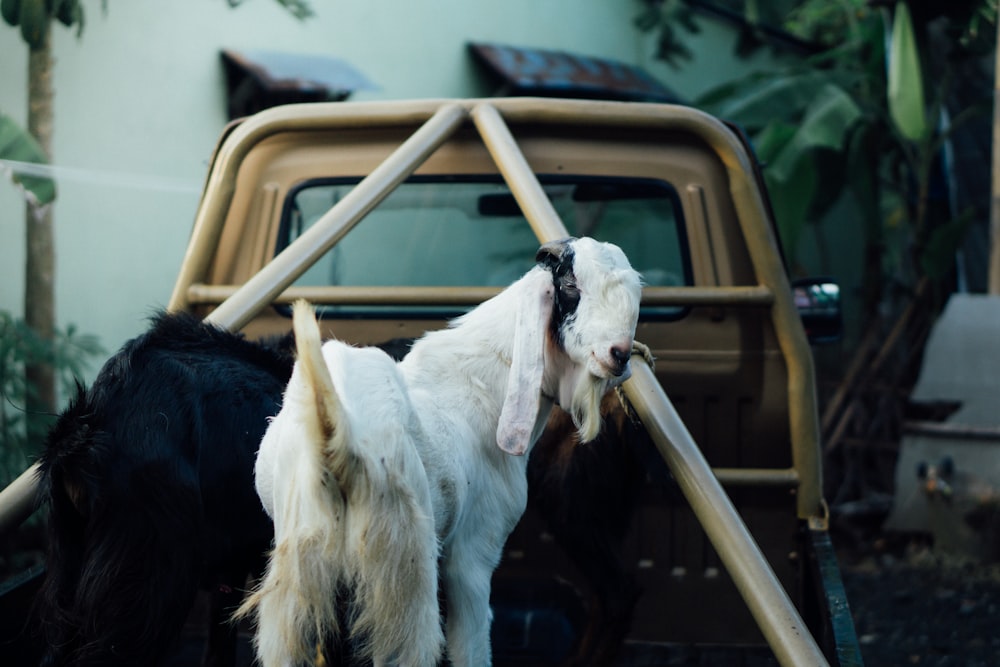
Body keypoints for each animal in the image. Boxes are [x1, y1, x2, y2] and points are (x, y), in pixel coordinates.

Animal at [241, 237, 644, 664]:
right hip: (404, 573)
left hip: (304, 576)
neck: (484, 383)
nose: (619, 354)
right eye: (570, 285)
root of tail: (337, 432)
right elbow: (471, 645)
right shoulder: (474, 553)